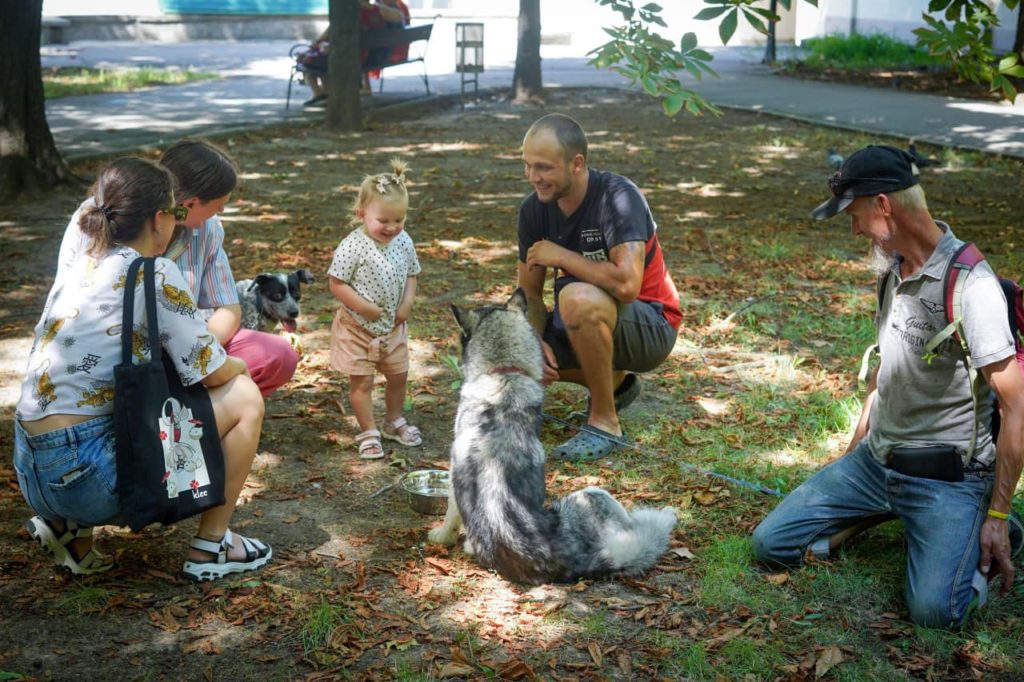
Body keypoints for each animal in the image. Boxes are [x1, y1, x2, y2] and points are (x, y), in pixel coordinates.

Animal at [428, 288, 675, 581]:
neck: (504, 375)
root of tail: (569, 560)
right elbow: (450, 517)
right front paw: (442, 536)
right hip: (594, 494)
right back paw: (668, 515)